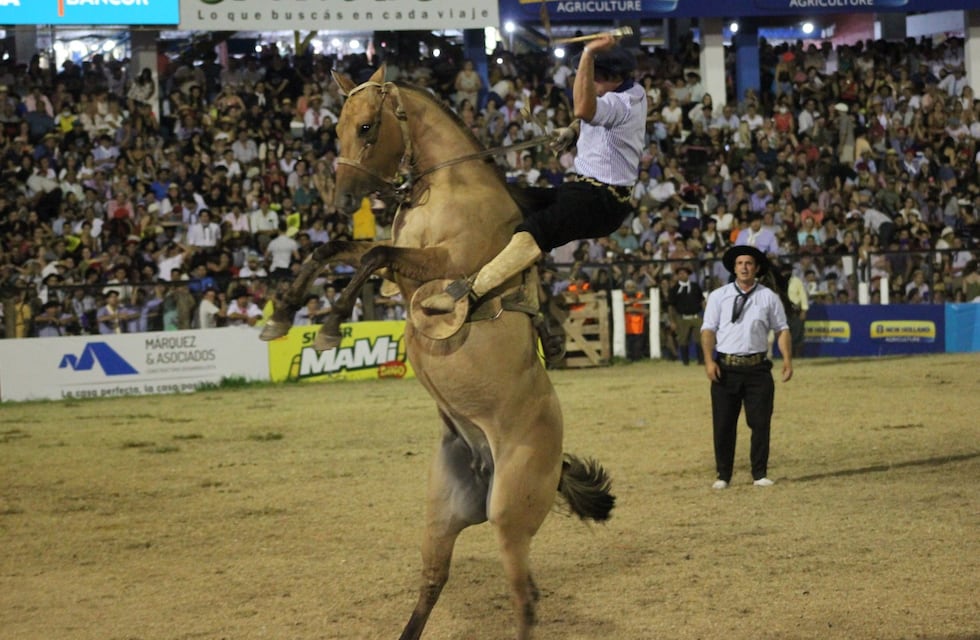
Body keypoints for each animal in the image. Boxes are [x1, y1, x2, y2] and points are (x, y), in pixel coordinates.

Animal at [260, 65, 615, 640]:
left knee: (525, 599)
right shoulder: (403, 263)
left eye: (366, 127)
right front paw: (282, 314)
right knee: (433, 581)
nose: (343, 201)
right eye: (335, 129)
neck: (452, 186)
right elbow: (334, 249)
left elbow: (372, 255)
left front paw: (331, 326)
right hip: (442, 514)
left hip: (510, 518)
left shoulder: (439, 263)